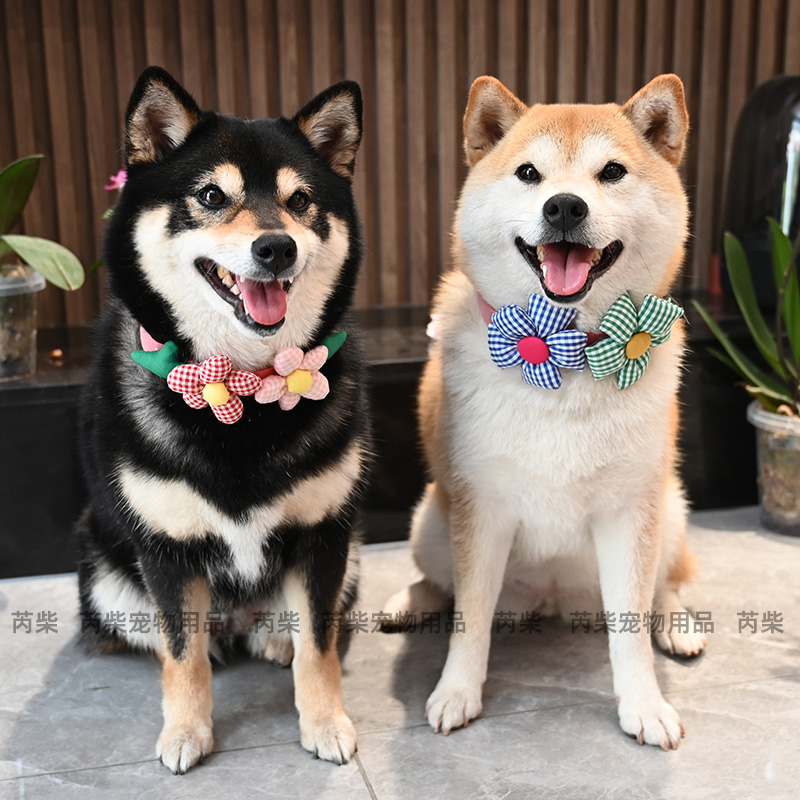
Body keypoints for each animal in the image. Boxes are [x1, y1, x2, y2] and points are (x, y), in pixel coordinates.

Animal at [76, 67, 369, 773]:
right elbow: (179, 655)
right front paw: (186, 731)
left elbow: (320, 647)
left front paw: (325, 722)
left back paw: (274, 638)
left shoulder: (325, 536)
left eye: (300, 201)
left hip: (353, 554)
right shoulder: (165, 547)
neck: (241, 386)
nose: (276, 247)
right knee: (168, 636)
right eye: (211, 195)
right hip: (102, 574)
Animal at [382, 74, 706, 749]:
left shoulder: (629, 512)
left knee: (667, 584)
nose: (564, 207)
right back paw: (408, 602)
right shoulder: (481, 508)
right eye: (529, 173)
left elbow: (631, 626)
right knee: (440, 583)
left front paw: (644, 703)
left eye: (612, 172)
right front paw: (457, 691)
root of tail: (552, 600)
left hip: (668, 509)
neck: (559, 347)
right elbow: (470, 618)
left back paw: (678, 625)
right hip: (431, 520)